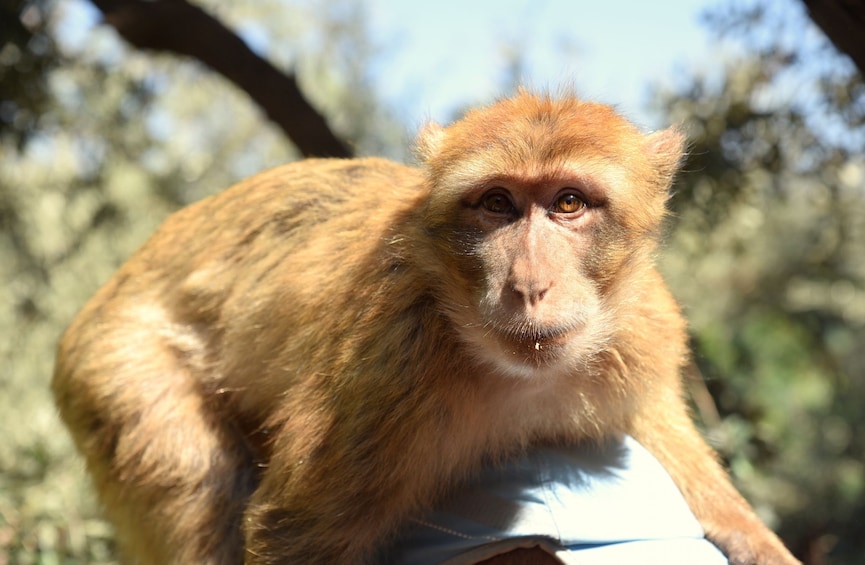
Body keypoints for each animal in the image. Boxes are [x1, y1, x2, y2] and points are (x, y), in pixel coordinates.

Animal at [50, 90, 800, 560]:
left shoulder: (641, 334)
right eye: (496, 204)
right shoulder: (389, 360)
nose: (529, 285)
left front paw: (755, 539)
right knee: (194, 470)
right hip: (114, 365)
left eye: (568, 203)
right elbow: (293, 532)